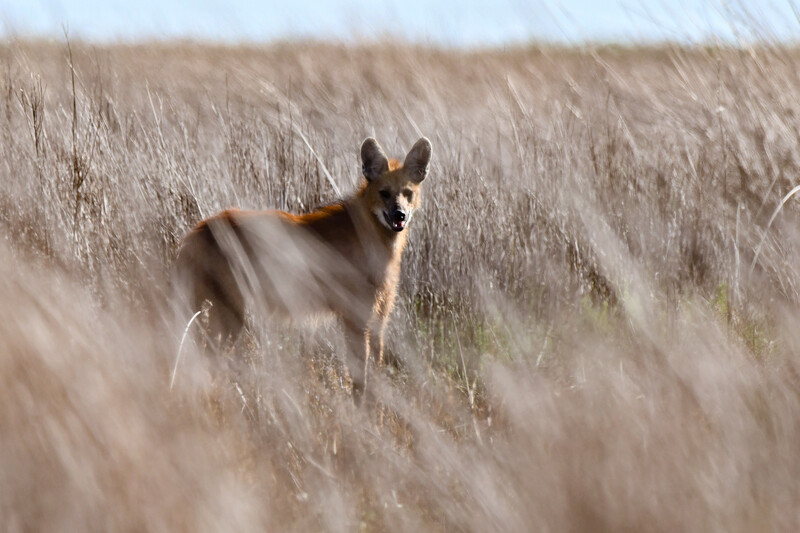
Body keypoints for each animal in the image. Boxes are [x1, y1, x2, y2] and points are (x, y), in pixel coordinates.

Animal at [173, 137, 432, 400]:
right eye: (384, 194)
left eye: (407, 194)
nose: (399, 215)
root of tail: (198, 230)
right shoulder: (355, 318)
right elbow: (359, 381)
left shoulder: (378, 318)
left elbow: (373, 382)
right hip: (231, 316)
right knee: (208, 360)